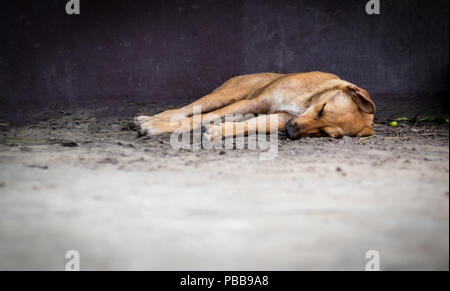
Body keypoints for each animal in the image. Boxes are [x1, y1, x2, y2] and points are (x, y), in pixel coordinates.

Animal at [134, 72, 376, 141]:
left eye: (326, 133)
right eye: (322, 108)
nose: (290, 132)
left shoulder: (281, 117)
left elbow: (250, 125)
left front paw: (219, 132)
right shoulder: (254, 102)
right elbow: (198, 118)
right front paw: (155, 126)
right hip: (224, 95)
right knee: (184, 110)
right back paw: (151, 119)